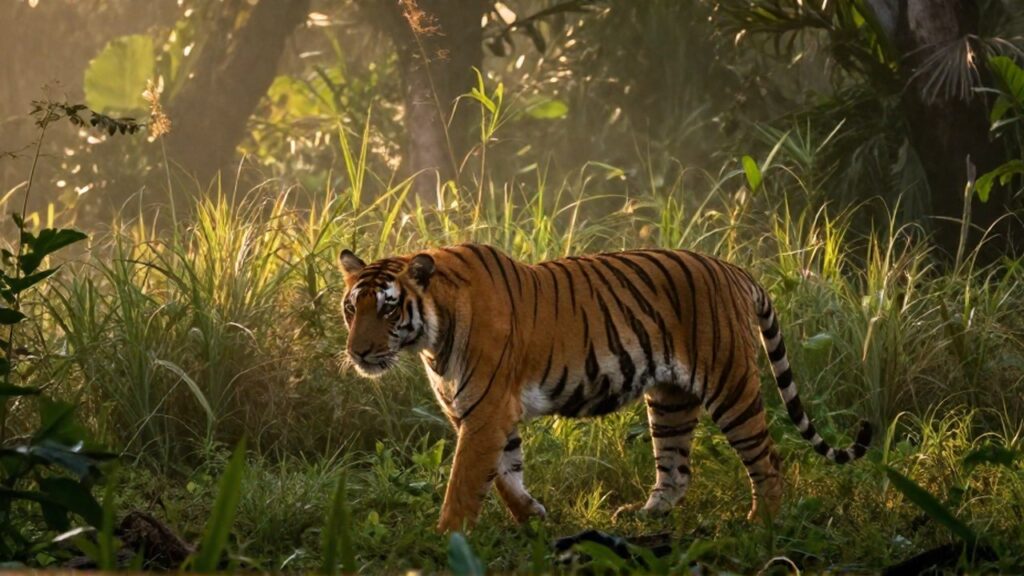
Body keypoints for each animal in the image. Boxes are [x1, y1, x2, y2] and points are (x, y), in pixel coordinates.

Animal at [339, 243, 871, 532]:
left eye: (388, 307)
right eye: (351, 308)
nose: (358, 352)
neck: (431, 337)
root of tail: (734, 269)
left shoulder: (486, 412)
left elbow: (465, 482)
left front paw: (448, 536)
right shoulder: (480, 414)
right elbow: (506, 476)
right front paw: (532, 515)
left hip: (731, 383)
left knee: (768, 458)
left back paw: (762, 524)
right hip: (670, 400)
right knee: (677, 469)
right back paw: (644, 516)